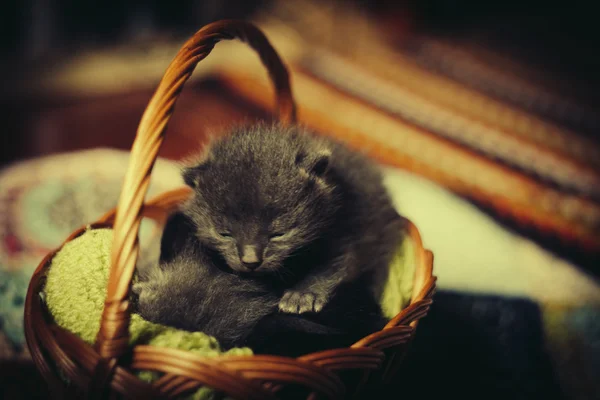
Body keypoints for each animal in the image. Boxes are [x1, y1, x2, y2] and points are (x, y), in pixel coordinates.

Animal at [132, 123, 404, 348]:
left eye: (278, 234)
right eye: (224, 234)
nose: (250, 260)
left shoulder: (347, 231)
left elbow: (334, 264)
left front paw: (302, 294)